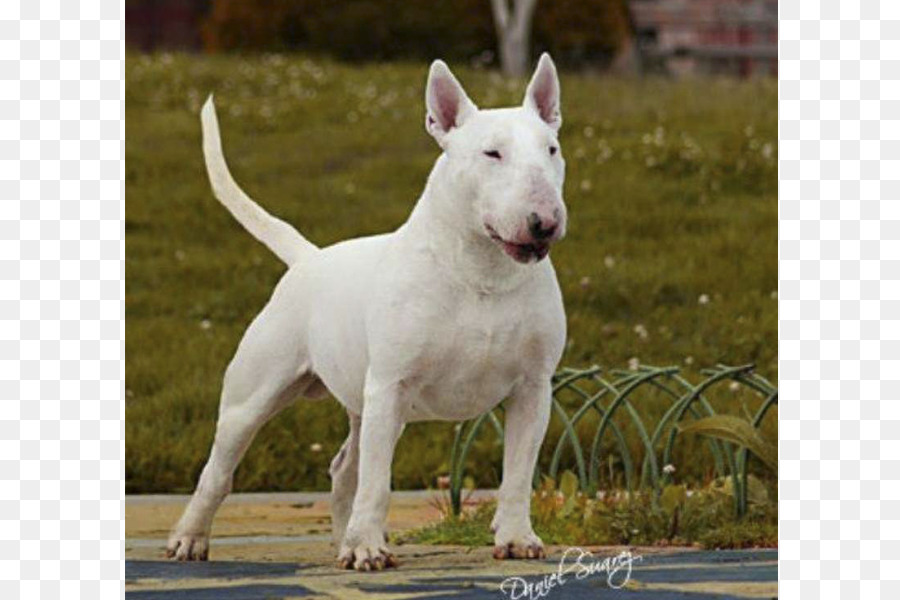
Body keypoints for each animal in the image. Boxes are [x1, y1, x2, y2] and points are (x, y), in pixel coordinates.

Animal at [165, 54, 568, 568]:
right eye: (491, 154)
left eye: (552, 149)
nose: (545, 223)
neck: (482, 271)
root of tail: (309, 258)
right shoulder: (391, 383)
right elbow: (378, 480)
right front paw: (366, 550)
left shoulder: (533, 389)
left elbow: (517, 472)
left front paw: (517, 539)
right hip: (258, 393)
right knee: (221, 469)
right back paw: (190, 538)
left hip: (362, 400)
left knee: (343, 469)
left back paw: (342, 538)